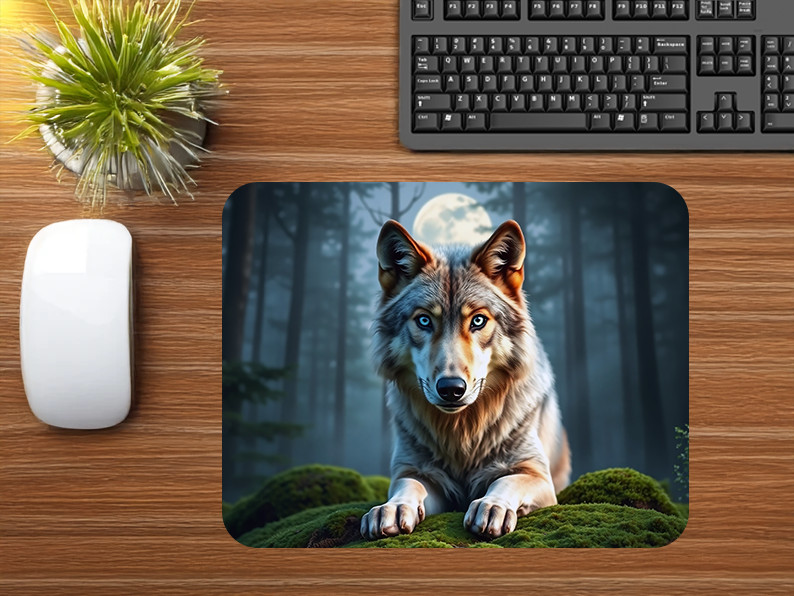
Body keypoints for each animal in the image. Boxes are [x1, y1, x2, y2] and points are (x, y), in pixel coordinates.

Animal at [361, 219, 571, 540]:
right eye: (424, 320)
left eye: (478, 320)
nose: (451, 389)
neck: (462, 432)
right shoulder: (415, 471)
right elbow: (408, 486)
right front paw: (392, 508)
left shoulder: (536, 475)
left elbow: (505, 481)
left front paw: (492, 506)